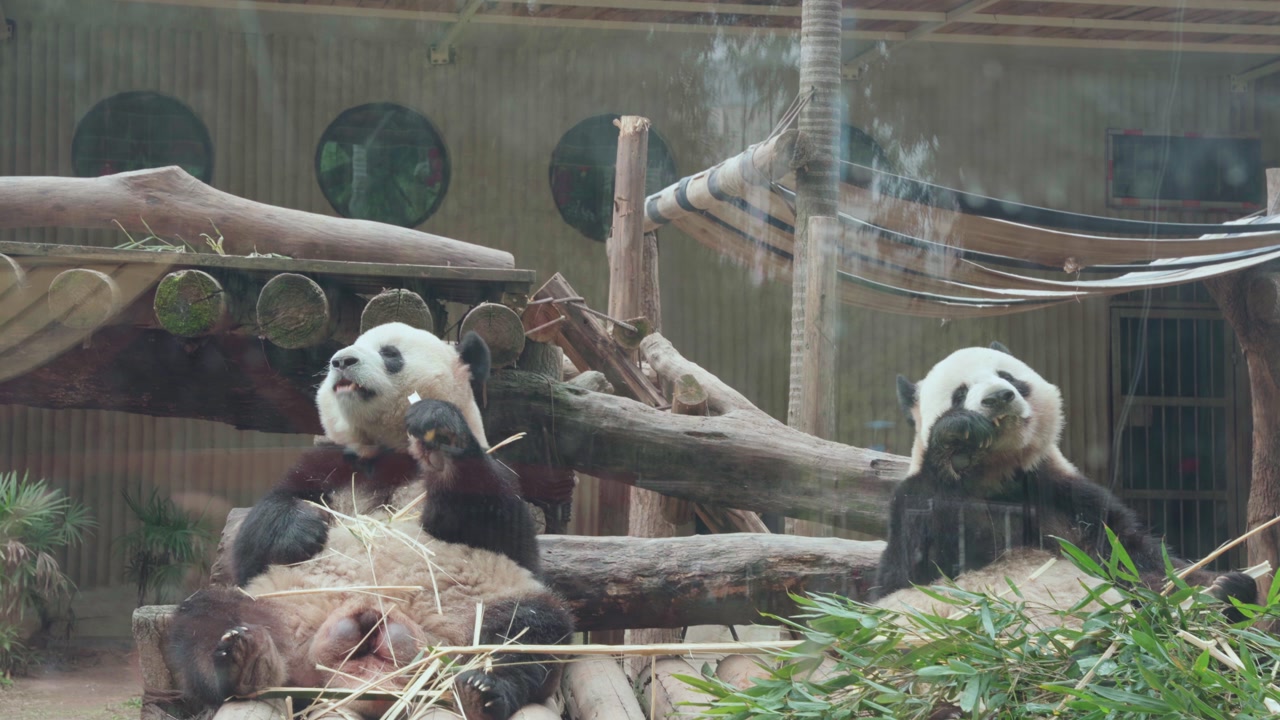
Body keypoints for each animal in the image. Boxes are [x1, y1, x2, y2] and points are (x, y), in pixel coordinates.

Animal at [165, 399, 574, 720]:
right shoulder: (322, 466)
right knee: (207, 617)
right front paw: (301, 527)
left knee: (529, 632)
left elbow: (505, 526)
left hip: (476, 609)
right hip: (275, 605)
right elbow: (256, 534)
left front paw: (442, 435)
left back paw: (482, 689)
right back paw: (244, 660)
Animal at [231, 322, 495, 586]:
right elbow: (249, 549)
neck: (383, 446)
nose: (341, 361)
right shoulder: (331, 462)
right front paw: (301, 529)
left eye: (389, 353)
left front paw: (436, 423)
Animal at [871, 342, 1257, 620]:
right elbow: (906, 570)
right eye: (960, 393)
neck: (1000, 475)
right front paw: (957, 436)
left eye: (1008, 376)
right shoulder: (928, 509)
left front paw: (1220, 585)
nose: (999, 396)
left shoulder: (1063, 498)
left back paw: (1231, 593)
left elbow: (1133, 559)